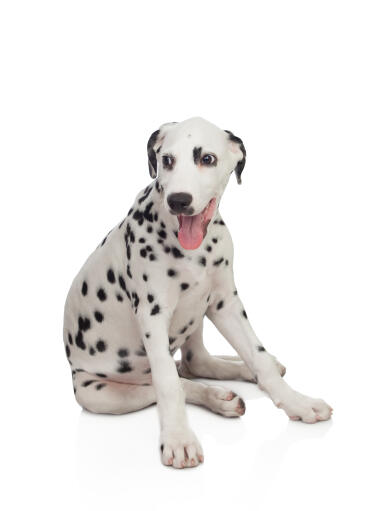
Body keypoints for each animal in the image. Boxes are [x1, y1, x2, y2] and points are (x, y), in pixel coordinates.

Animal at [63, 118, 332, 470]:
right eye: (167, 160)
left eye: (207, 159)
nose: (178, 199)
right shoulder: (152, 315)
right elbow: (168, 384)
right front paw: (179, 439)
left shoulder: (226, 302)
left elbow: (259, 358)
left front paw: (297, 402)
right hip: (98, 393)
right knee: (173, 380)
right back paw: (218, 398)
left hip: (197, 314)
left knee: (196, 362)